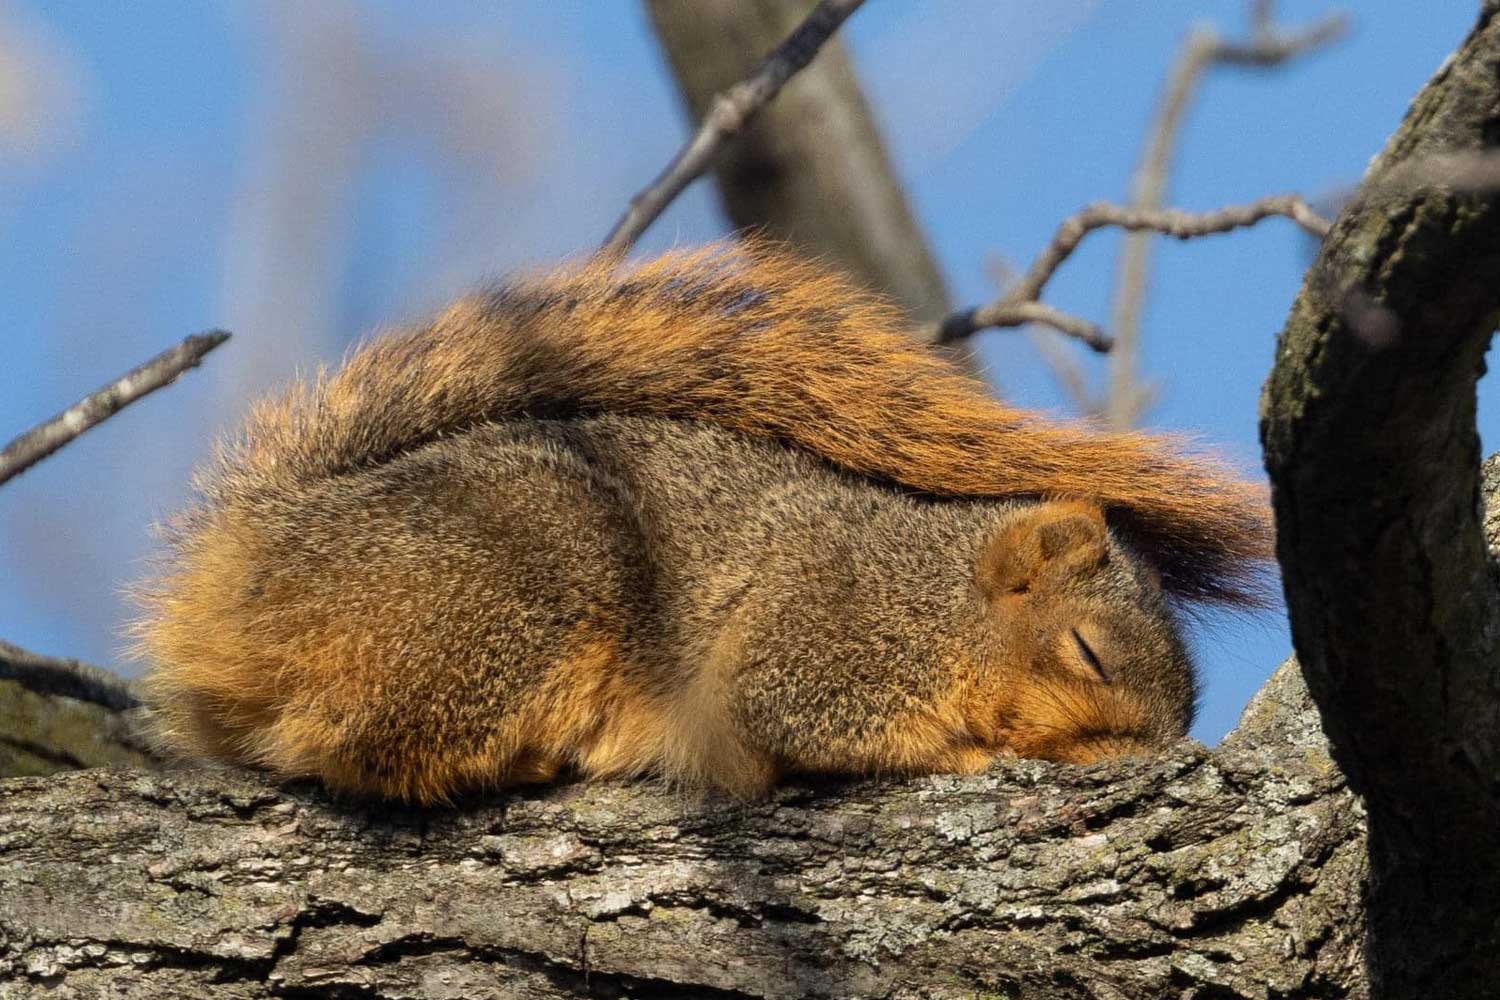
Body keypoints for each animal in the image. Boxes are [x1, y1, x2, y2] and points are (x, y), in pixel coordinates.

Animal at [135, 242, 1272, 803]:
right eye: (1088, 651)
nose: (1149, 758)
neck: (942, 594)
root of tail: (254, 562)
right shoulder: (829, 633)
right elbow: (804, 719)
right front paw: (978, 760)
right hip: (506, 594)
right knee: (354, 741)